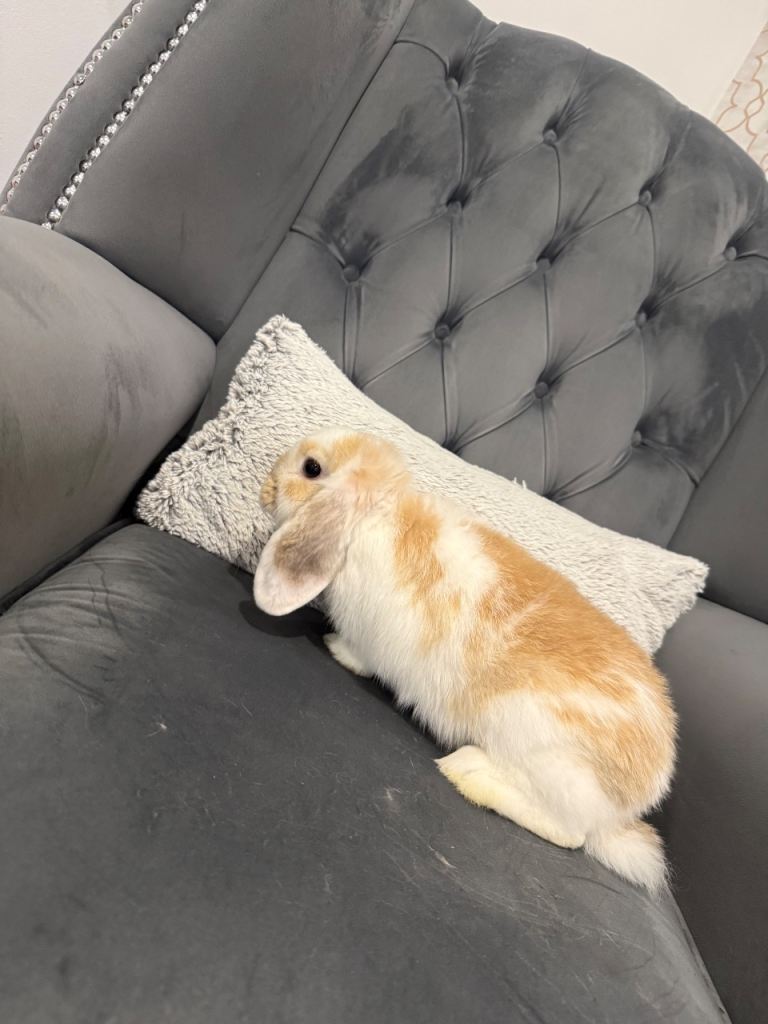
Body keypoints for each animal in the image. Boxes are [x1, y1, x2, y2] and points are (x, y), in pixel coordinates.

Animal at [254, 428, 677, 892]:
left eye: (311, 468)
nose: (265, 489)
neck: (379, 513)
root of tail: (632, 801)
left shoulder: (369, 635)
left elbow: (360, 655)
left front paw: (335, 648)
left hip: (535, 748)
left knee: (570, 834)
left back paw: (469, 773)